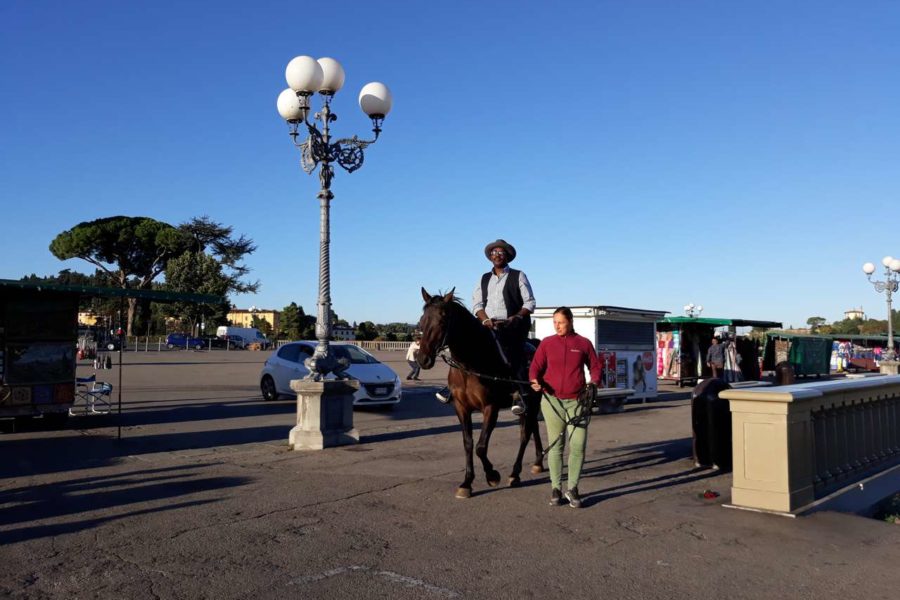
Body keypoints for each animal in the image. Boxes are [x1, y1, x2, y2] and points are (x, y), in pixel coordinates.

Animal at [414, 288, 540, 500]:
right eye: (422, 321)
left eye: (442, 321)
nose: (423, 359)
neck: (470, 365)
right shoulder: (461, 408)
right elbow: (468, 443)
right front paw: (467, 483)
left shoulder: (491, 408)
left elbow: (481, 447)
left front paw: (492, 475)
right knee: (532, 429)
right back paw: (538, 463)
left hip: (532, 402)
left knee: (525, 435)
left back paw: (515, 473)